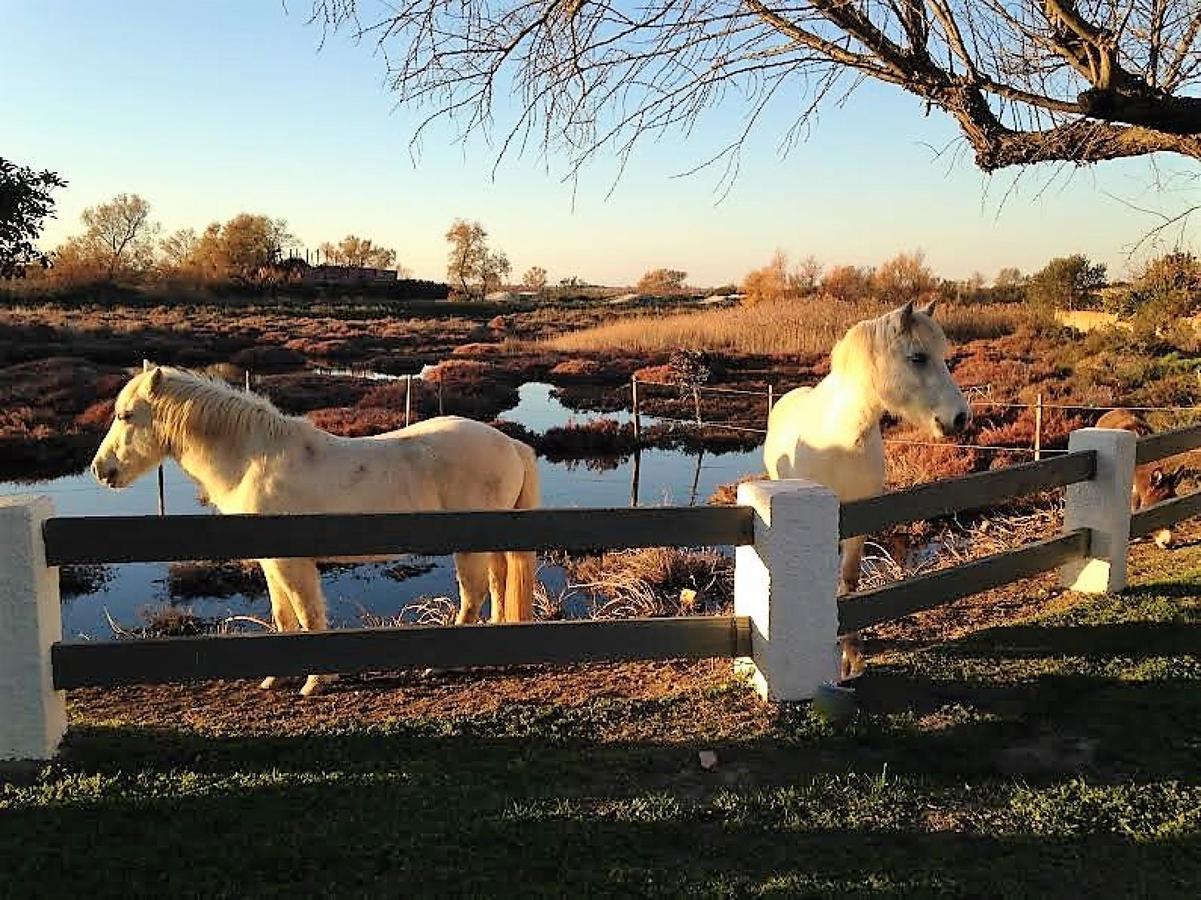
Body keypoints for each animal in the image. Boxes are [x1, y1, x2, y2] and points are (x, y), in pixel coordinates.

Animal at [91, 362, 542, 696]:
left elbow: (307, 616)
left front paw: (314, 682)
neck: (253, 460)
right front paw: (274, 679)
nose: (101, 470)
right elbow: (284, 617)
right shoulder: (271, 561)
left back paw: (438, 667)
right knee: (498, 586)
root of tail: (510, 445)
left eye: (126, 416)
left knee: (474, 595)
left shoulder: (292, 562)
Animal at [763, 297, 970, 677]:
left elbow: (849, 579)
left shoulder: (858, 522)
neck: (838, 439)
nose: (960, 418)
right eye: (918, 357)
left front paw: (852, 657)